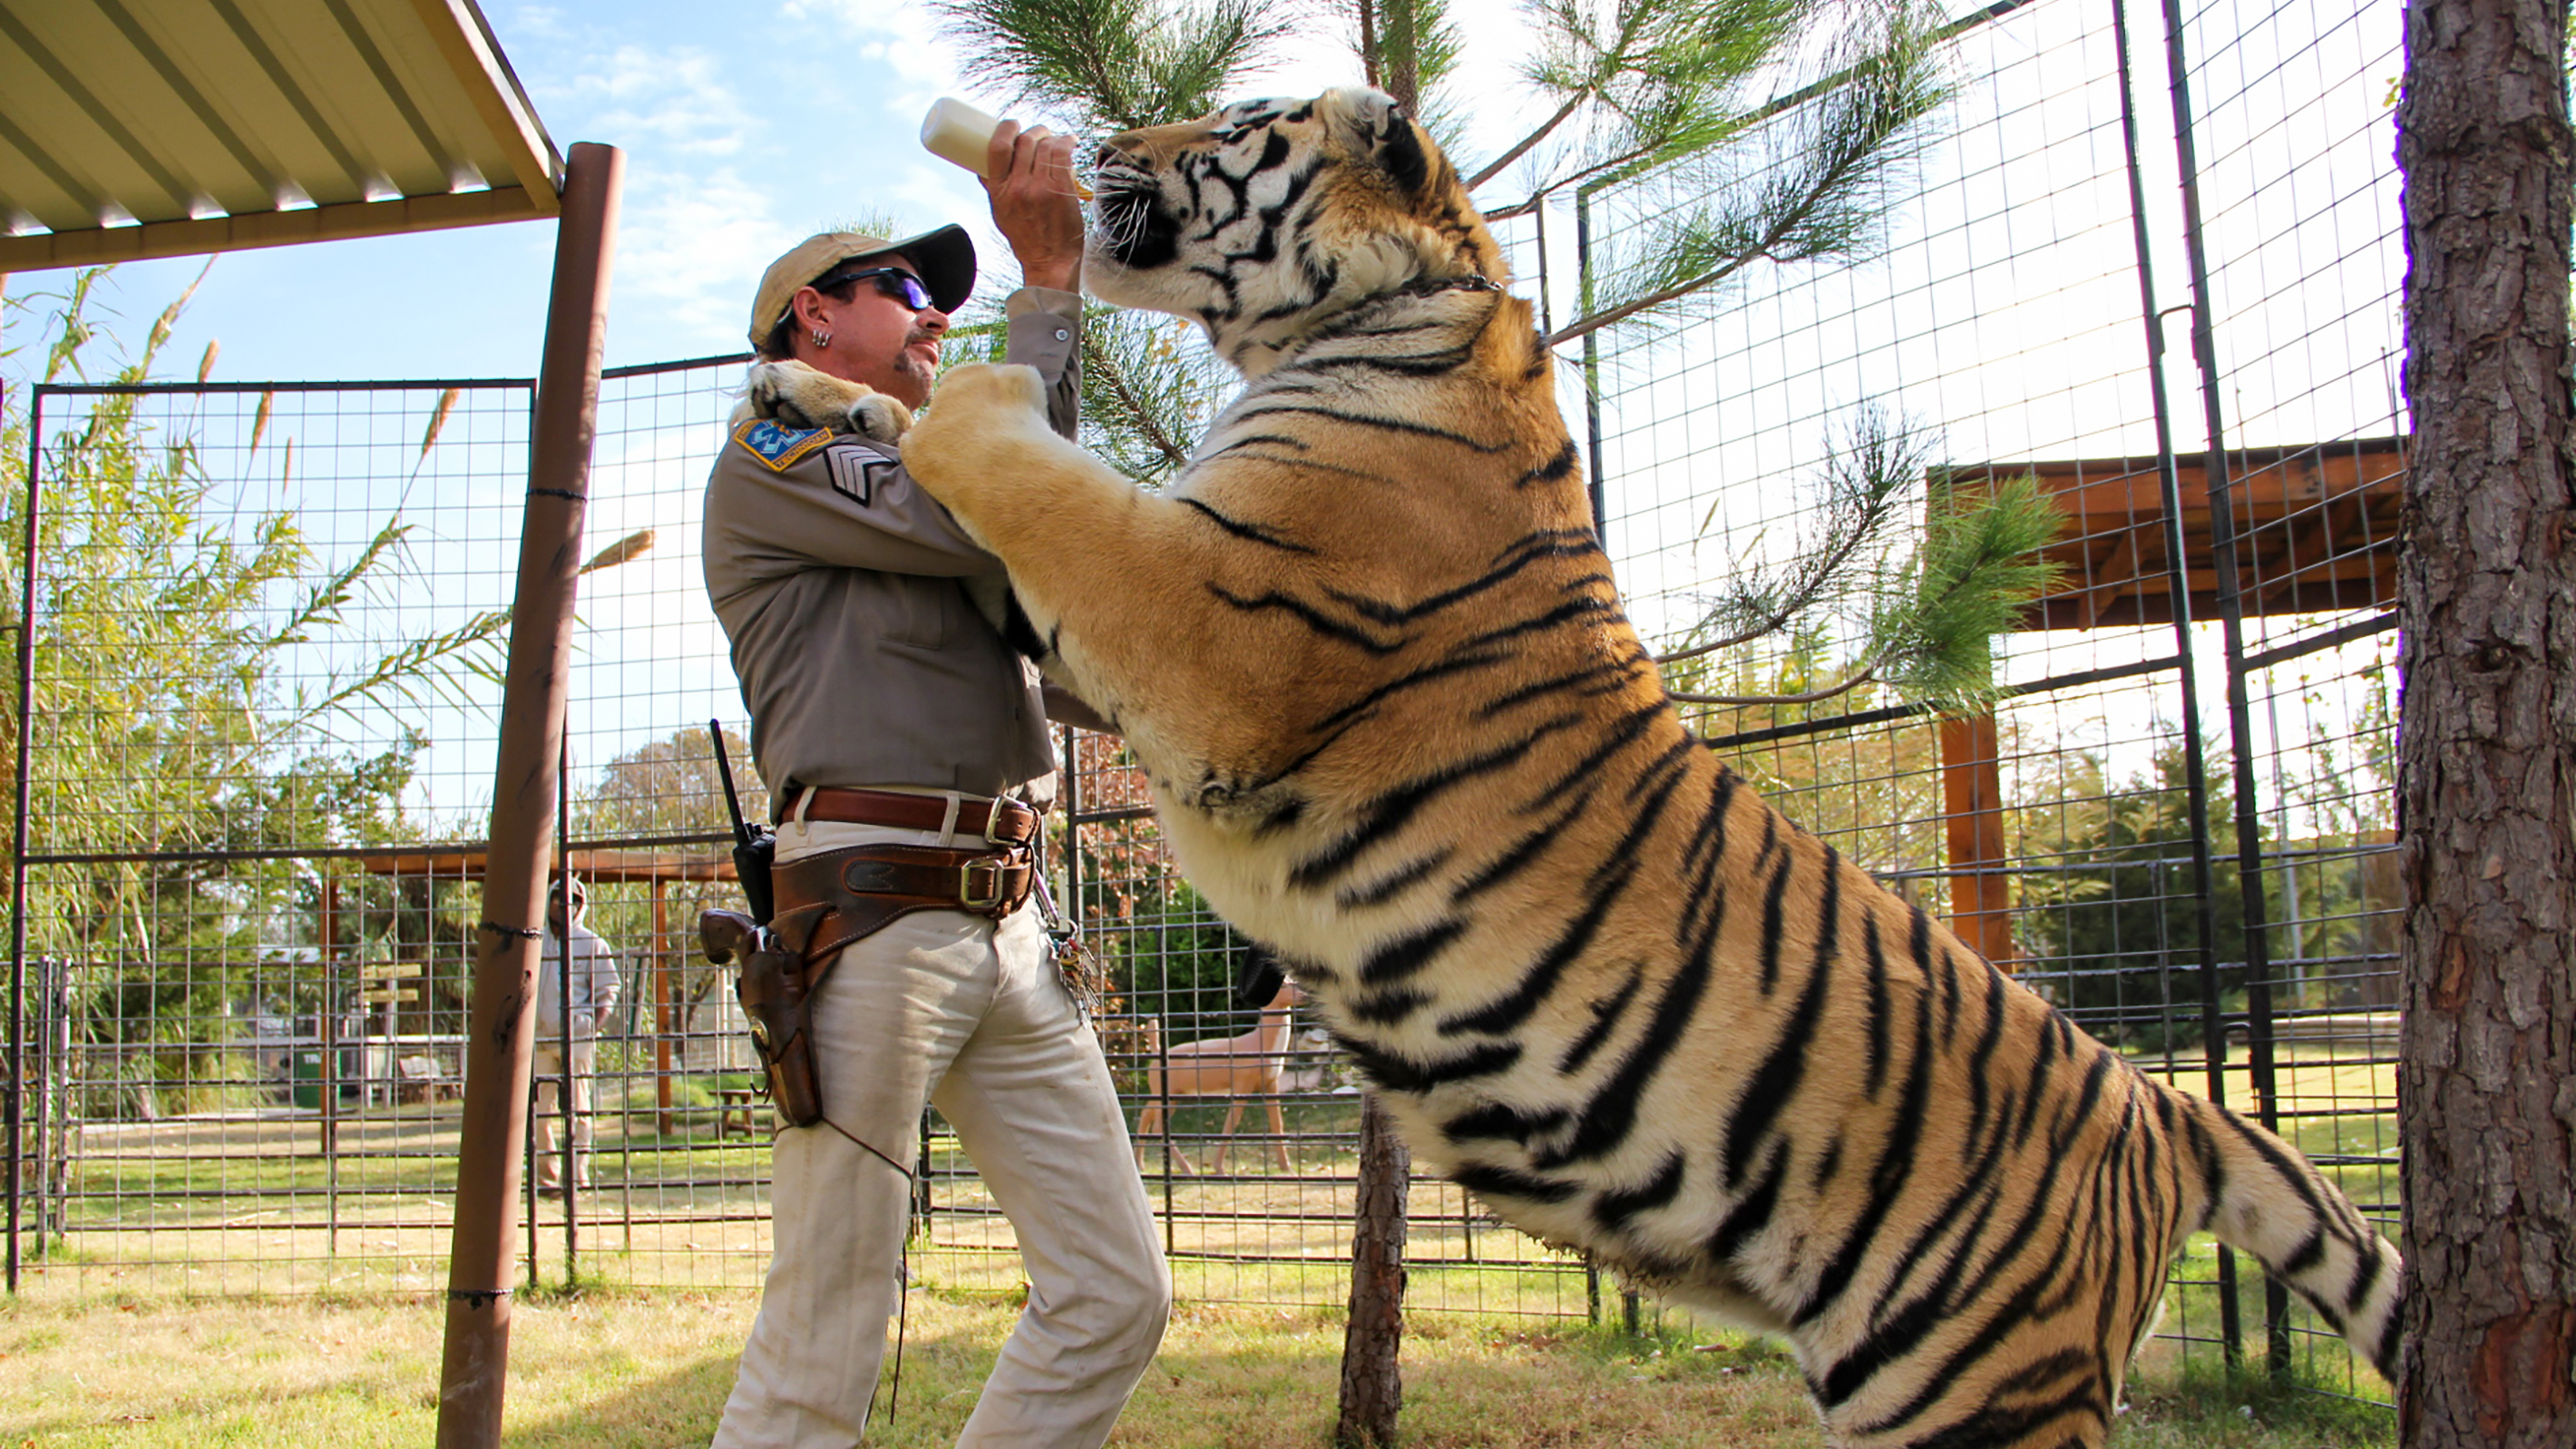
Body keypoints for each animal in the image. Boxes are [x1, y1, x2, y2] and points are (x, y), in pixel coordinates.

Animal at [892, 86, 2403, 1448]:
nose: (1097, 145)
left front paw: (946, 392)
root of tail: (2161, 1109)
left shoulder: (1212, 624)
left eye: (1225, 126)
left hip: (1976, 1386)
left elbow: (1039, 479)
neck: (1390, 308)